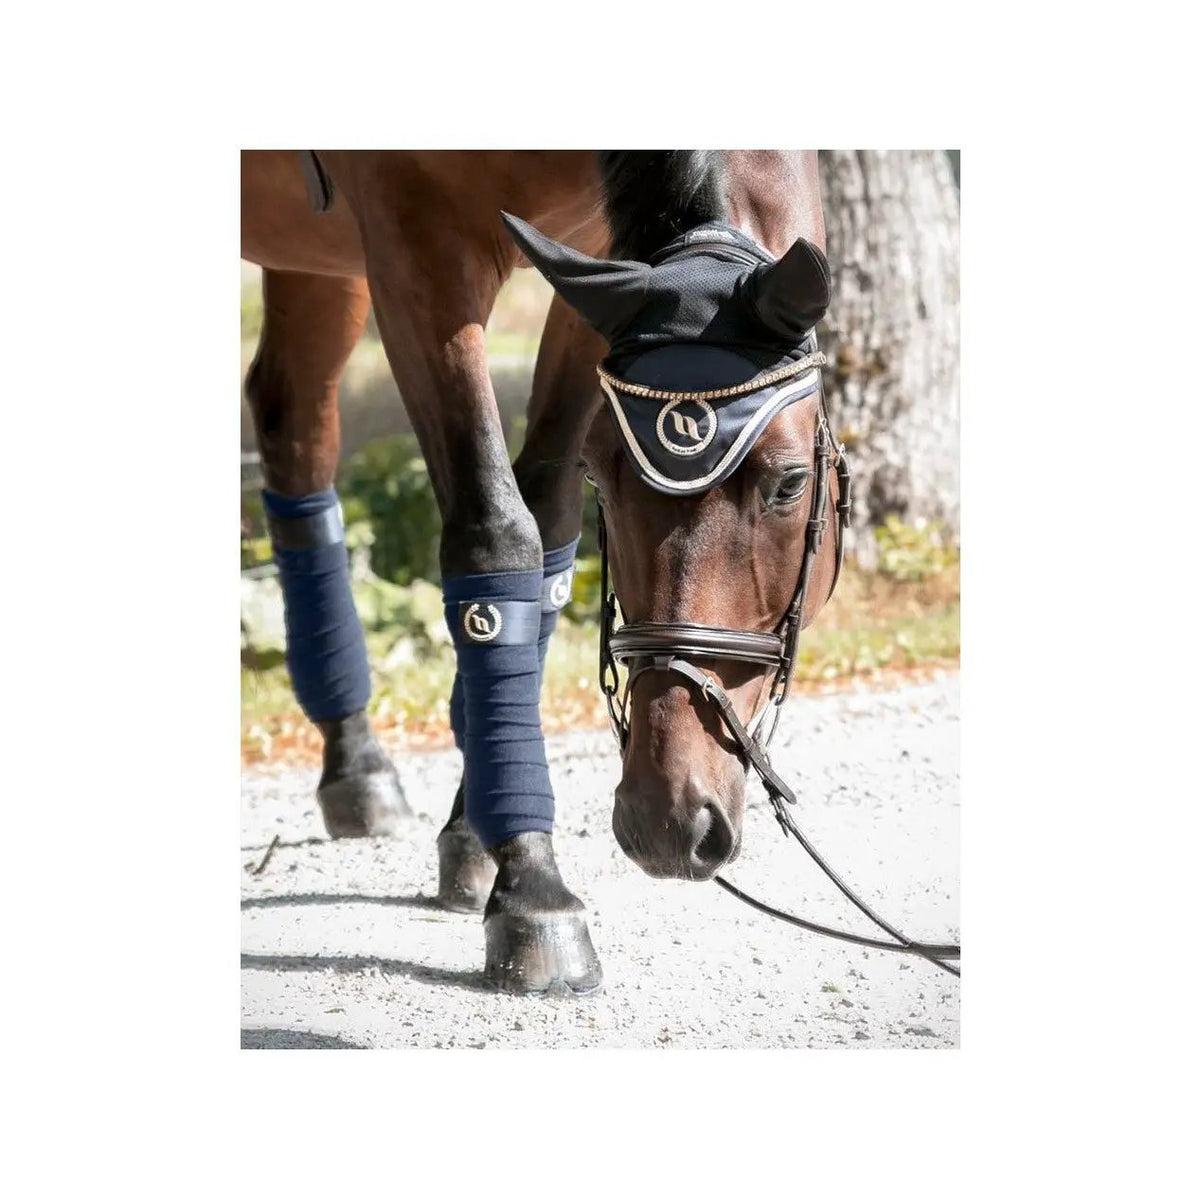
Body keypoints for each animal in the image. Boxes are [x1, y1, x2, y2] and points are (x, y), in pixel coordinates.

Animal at [240, 150, 842, 994]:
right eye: (608, 480)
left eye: (789, 483)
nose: (667, 820)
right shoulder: (417, 248)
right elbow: (497, 535)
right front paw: (531, 886)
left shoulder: (594, 263)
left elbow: (548, 520)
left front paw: (474, 836)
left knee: (291, 424)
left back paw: (356, 765)